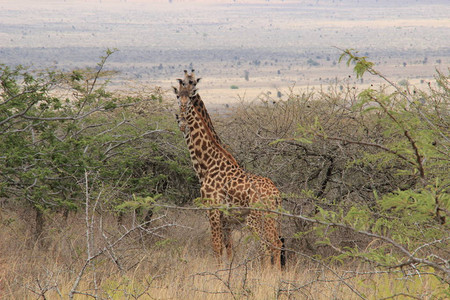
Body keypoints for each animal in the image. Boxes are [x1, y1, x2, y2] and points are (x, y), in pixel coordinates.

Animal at [174, 71, 284, 268]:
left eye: (191, 92)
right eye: (178, 96)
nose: (182, 122)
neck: (207, 165)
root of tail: (276, 194)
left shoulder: (213, 209)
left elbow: (217, 247)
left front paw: (218, 273)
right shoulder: (226, 218)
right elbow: (229, 249)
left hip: (257, 218)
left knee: (266, 246)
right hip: (273, 217)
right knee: (275, 243)